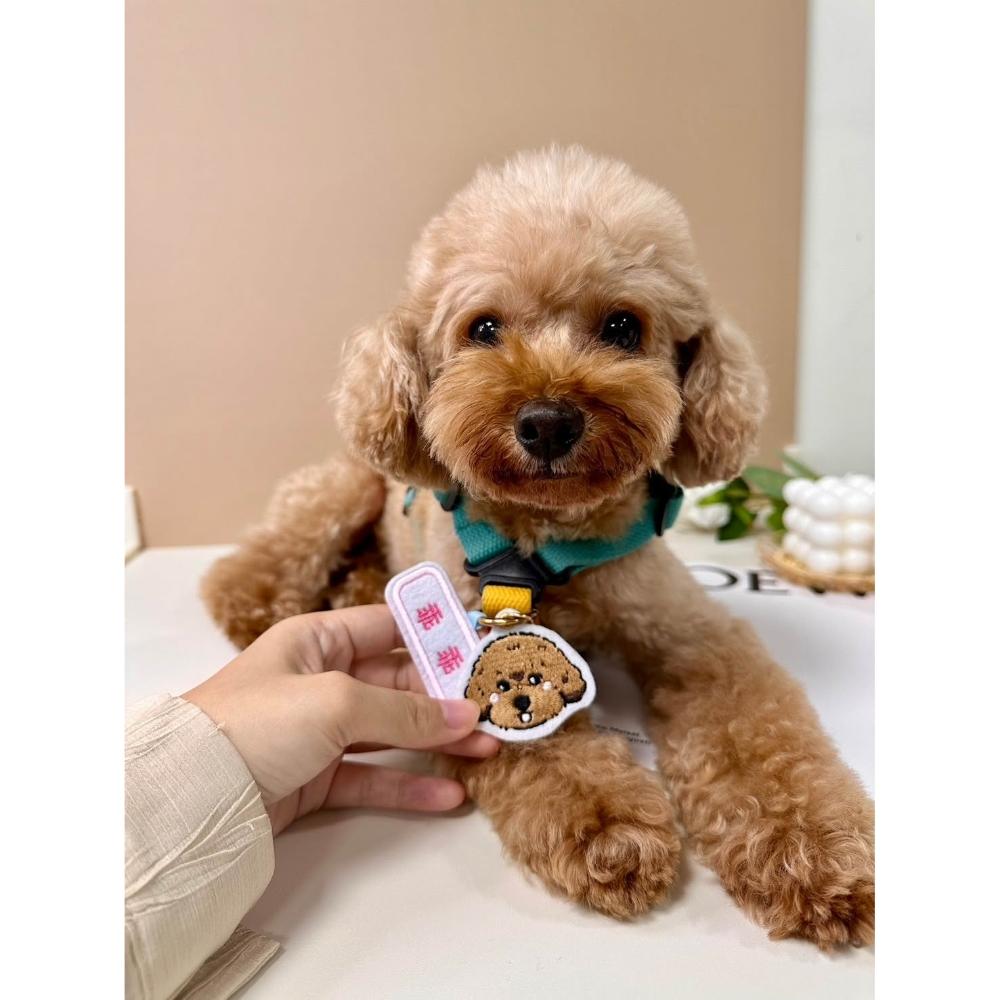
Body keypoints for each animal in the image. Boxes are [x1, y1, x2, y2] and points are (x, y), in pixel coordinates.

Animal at [202, 146, 874, 947]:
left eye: (623, 327)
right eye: (484, 328)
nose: (548, 421)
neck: (549, 542)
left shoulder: (692, 634)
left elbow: (755, 734)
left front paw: (812, 851)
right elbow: (549, 750)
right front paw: (611, 829)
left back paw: (356, 588)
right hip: (342, 488)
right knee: (256, 563)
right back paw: (265, 604)